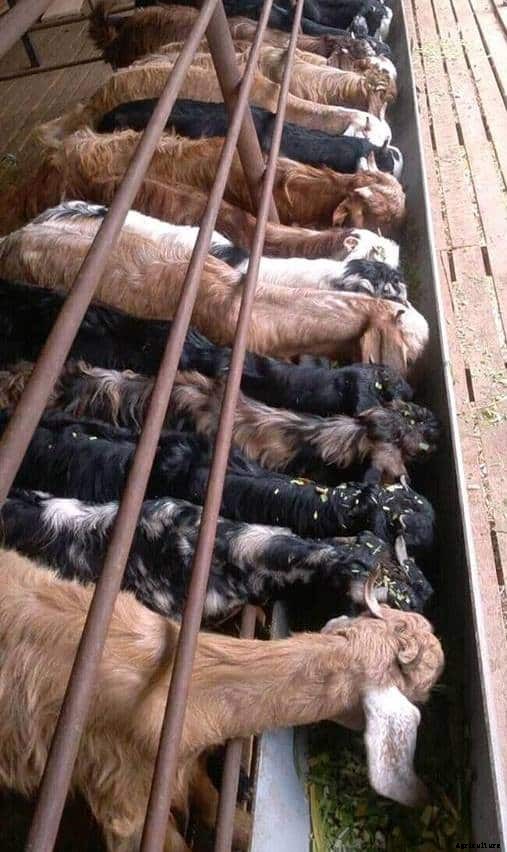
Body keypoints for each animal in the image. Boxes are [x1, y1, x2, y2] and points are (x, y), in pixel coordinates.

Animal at [0, 551, 443, 851]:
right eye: (423, 685)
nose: (441, 658)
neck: (187, 683)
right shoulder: (126, 802)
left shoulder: (187, 767)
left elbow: (227, 814)